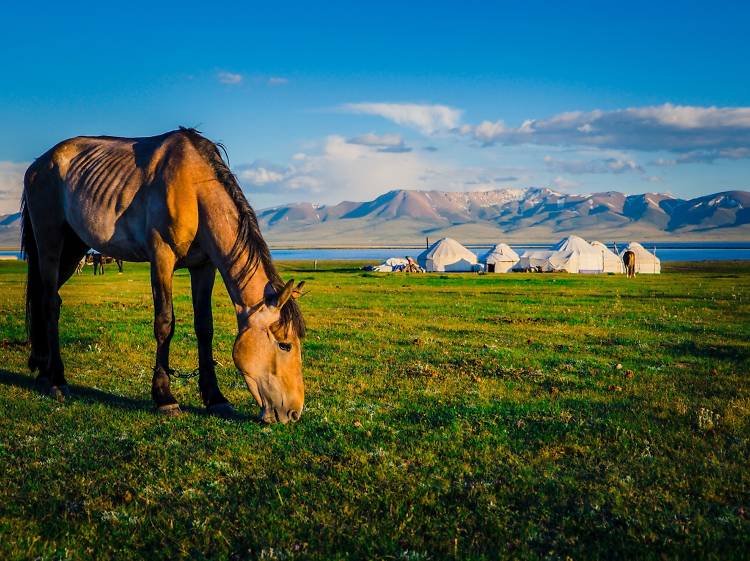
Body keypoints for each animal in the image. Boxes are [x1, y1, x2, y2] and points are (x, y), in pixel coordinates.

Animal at [22, 127, 306, 422]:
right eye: (285, 344)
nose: (294, 412)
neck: (194, 188)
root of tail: (38, 165)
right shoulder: (161, 258)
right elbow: (164, 324)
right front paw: (164, 397)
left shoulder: (204, 267)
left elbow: (204, 327)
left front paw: (215, 397)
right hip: (51, 243)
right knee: (50, 303)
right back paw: (57, 380)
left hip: (74, 248)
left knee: (44, 298)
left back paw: (43, 372)